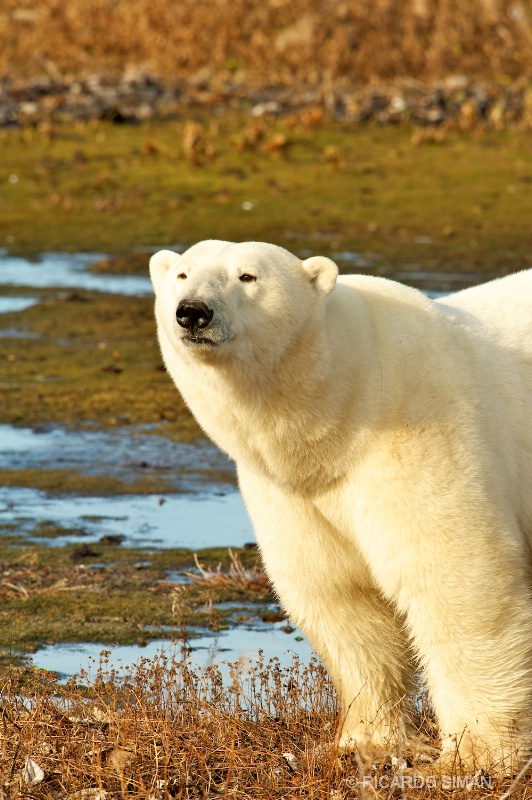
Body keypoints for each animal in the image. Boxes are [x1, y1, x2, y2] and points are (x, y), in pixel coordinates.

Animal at [149, 239, 532, 774]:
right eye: (182, 274)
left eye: (247, 276)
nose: (192, 312)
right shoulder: (294, 493)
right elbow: (340, 594)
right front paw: (365, 741)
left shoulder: (423, 433)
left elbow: (457, 580)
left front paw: (472, 758)